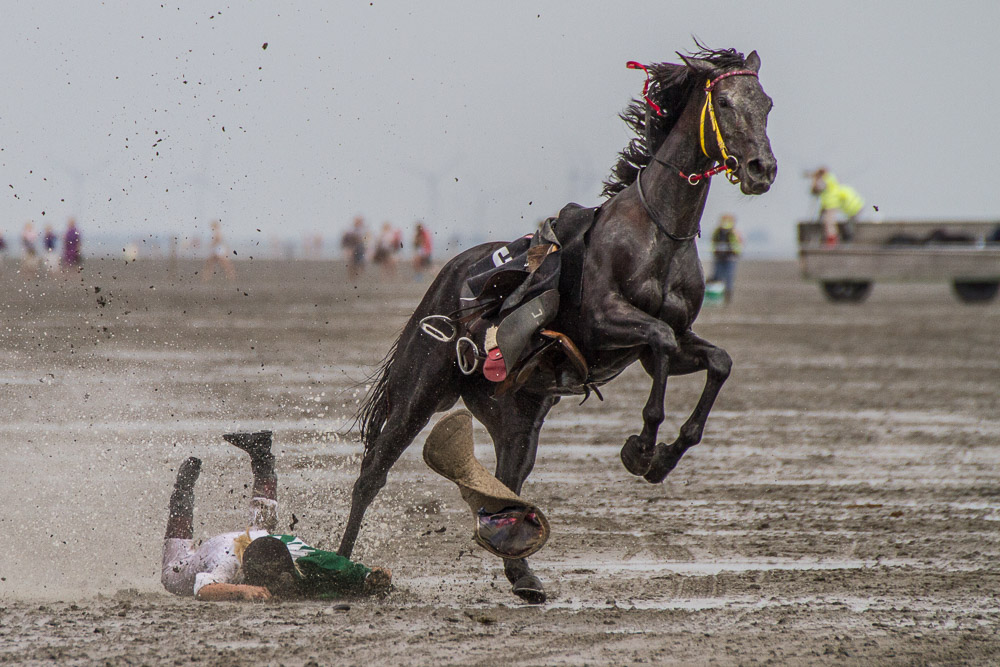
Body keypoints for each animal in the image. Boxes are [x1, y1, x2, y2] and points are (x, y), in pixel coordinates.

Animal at [340, 44, 776, 604]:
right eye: (724, 102)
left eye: (766, 103)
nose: (762, 168)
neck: (658, 233)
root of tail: (448, 275)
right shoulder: (606, 324)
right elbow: (656, 343)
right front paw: (642, 449)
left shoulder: (676, 344)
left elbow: (716, 361)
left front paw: (664, 456)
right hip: (421, 389)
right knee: (373, 472)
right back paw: (340, 566)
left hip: (517, 416)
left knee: (504, 485)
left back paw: (522, 573)